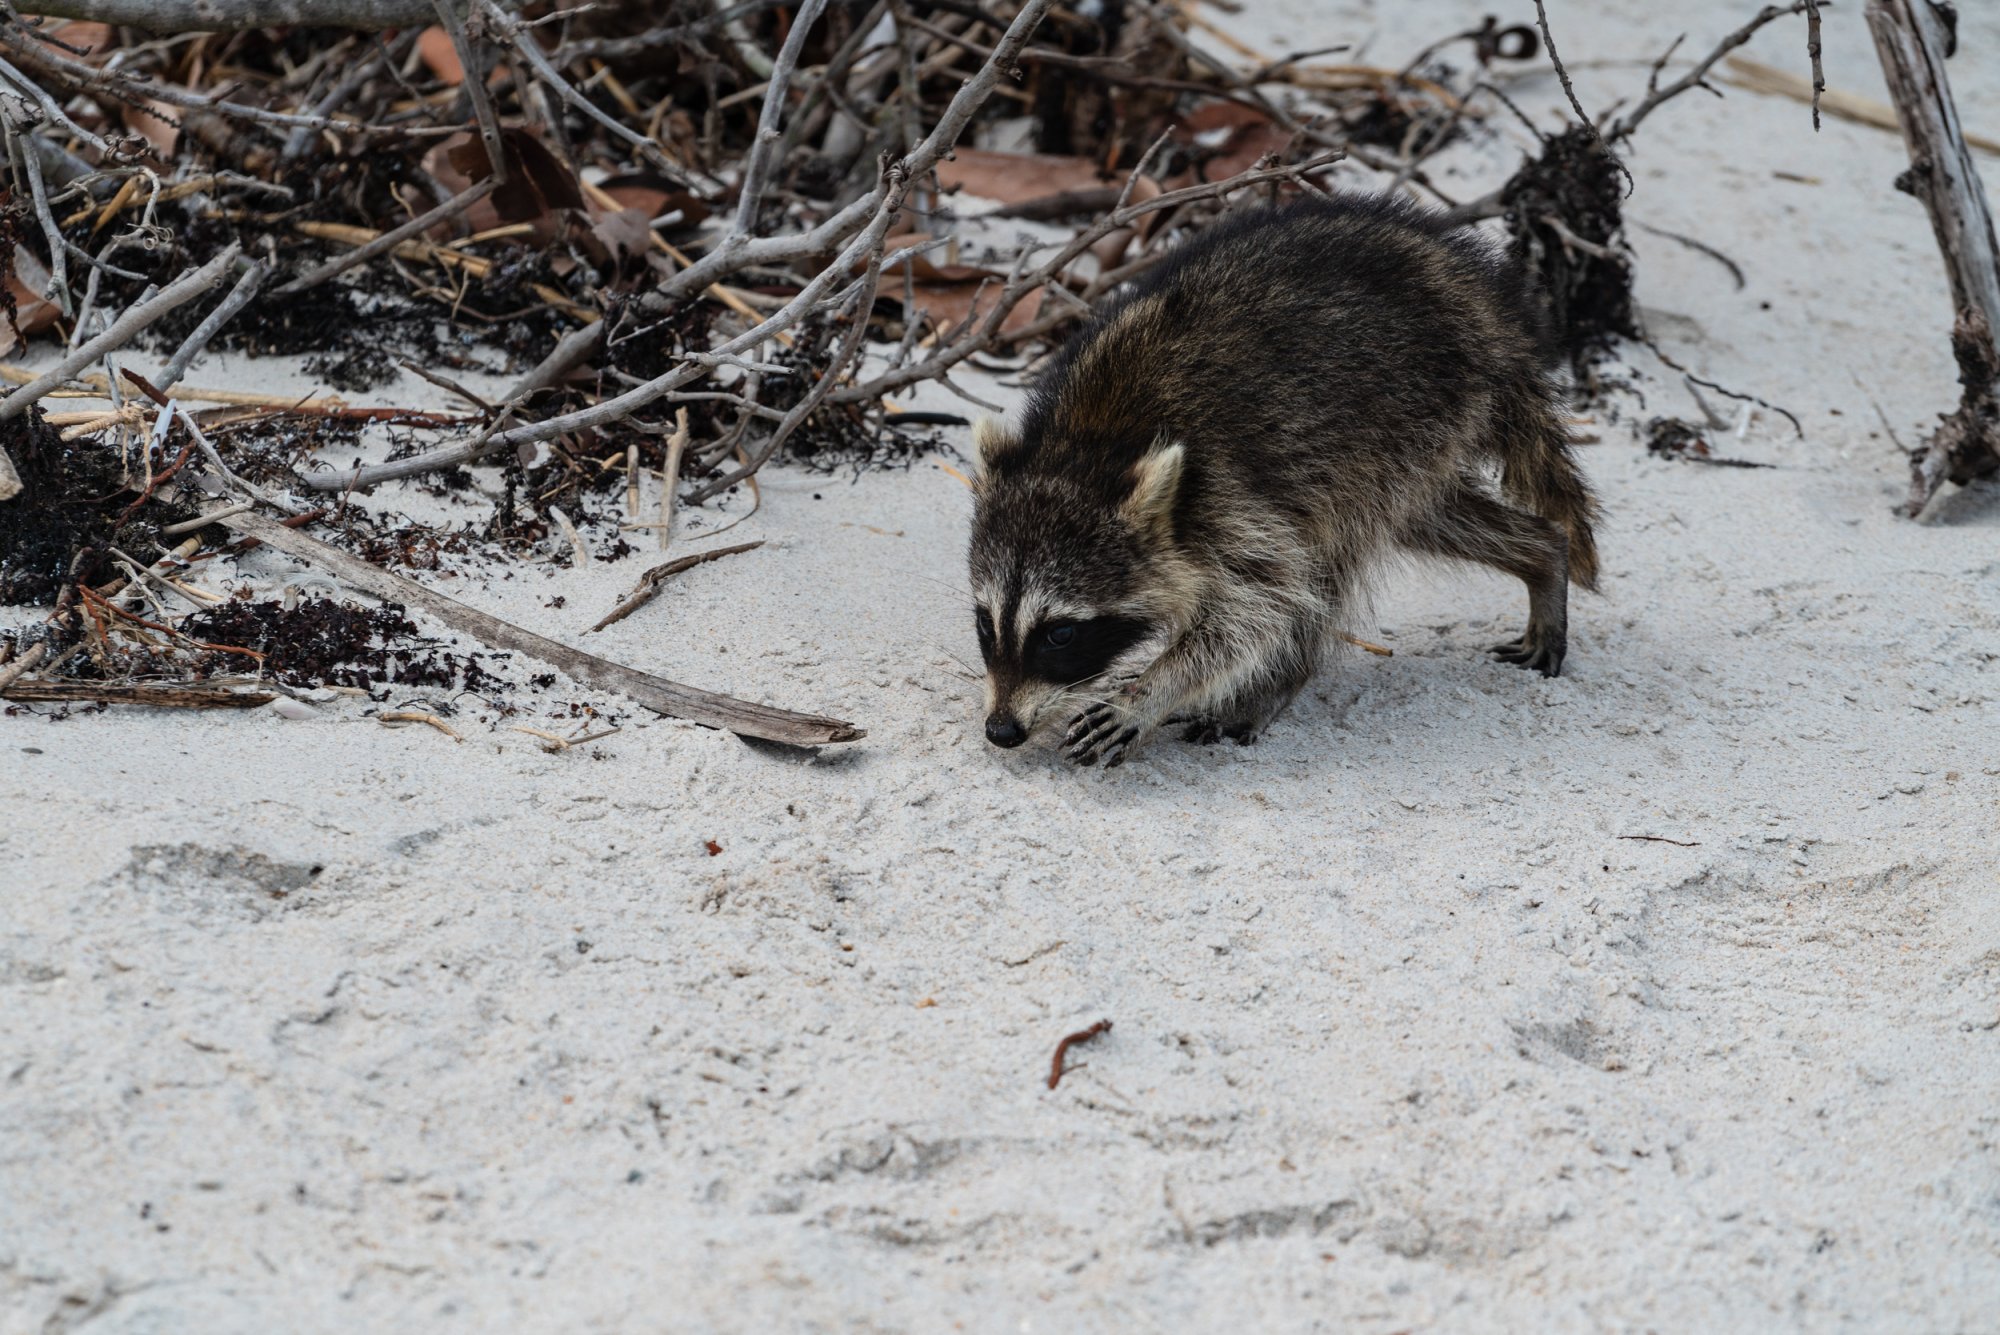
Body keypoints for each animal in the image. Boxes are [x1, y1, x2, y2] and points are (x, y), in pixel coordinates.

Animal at [960, 192, 1600, 767]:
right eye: (986, 623)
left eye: (1060, 633)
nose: (1002, 730)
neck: (1089, 447)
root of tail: (1479, 299)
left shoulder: (1229, 501)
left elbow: (1261, 606)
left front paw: (1153, 690)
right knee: (1427, 518)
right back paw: (1543, 552)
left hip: (1402, 415)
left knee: (1330, 560)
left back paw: (1275, 683)